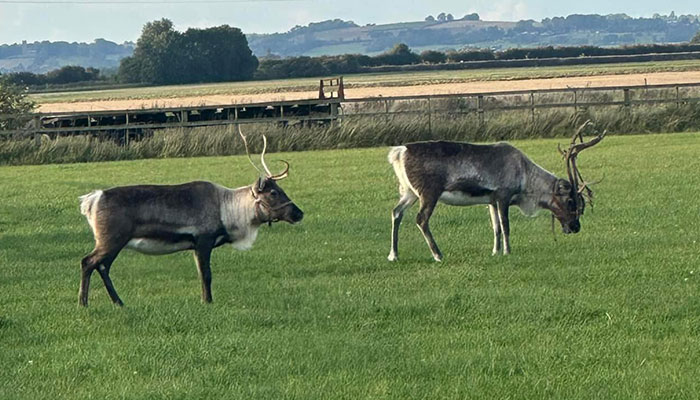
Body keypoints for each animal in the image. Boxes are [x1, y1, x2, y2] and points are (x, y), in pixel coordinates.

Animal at [78, 128, 303, 306]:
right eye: (273, 192)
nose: (299, 213)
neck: (229, 212)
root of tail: (91, 200)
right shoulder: (204, 240)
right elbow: (207, 275)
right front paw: (208, 301)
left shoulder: (195, 246)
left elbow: (201, 274)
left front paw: (204, 300)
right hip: (111, 239)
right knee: (88, 262)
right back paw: (83, 303)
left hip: (114, 242)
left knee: (102, 266)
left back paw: (118, 302)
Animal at [387, 121, 605, 262]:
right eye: (570, 201)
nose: (575, 227)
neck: (525, 178)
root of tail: (400, 152)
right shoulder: (503, 195)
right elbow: (506, 226)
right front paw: (508, 252)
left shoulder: (491, 200)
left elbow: (496, 227)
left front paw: (495, 252)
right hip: (428, 192)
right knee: (421, 219)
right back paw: (438, 255)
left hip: (408, 192)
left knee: (396, 212)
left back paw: (393, 255)